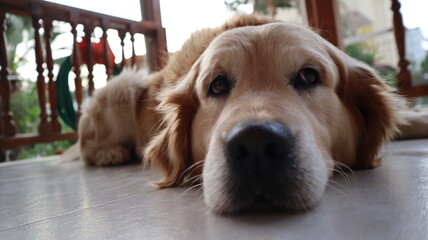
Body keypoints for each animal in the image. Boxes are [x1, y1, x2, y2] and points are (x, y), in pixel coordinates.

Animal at [77, 15, 404, 214]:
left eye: (308, 76)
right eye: (217, 85)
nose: (256, 143)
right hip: (126, 85)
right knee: (84, 146)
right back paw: (110, 153)